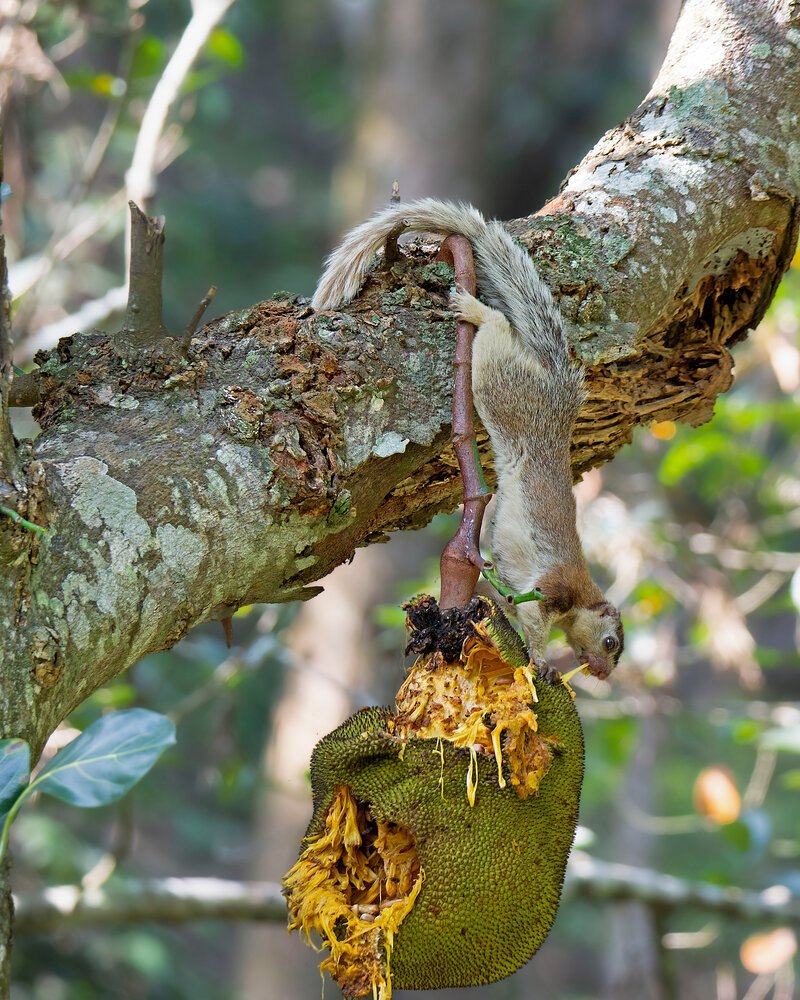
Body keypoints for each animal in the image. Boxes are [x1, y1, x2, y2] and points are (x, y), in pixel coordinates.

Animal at [312, 198, 623, 680]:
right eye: (610, 642)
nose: (603, 674)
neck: (582, 601)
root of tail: (558, 395)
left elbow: (512, 608)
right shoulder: (553, 589)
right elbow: (533, 622)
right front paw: (542, 663)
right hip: (504, 388)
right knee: (495, 329)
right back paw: (474, 310)